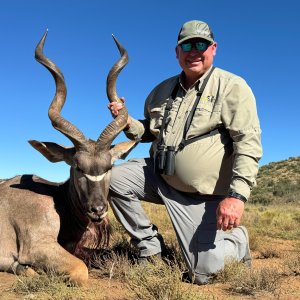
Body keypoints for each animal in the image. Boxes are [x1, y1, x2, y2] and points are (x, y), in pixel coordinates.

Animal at [0, 31, 137, 284]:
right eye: (78, 167)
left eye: (109, 166)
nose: (98, 210)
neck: (58, 199)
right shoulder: (37, 245)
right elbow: (80, 270)